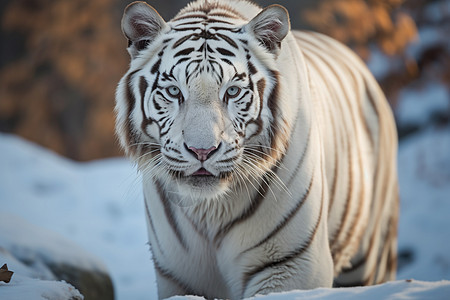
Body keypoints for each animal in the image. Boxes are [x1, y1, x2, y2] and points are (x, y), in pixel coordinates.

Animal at [114, 0, 400, 298]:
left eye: (232, 92)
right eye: (173, 91)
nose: (202, 151)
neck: (210, 210)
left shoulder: (291, 264)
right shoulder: (178, 275)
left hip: (371, 251)